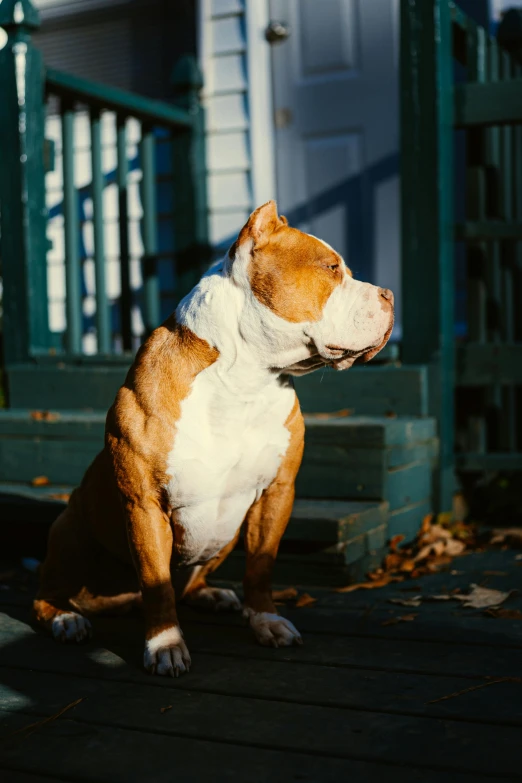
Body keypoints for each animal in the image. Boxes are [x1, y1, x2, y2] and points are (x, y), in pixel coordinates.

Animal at [34, 201, 392, 672]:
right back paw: (66, 619)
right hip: (70, 531)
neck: (244, 381)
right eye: (331, 268)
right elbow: (158, 585)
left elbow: (260, 567)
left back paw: (211, 594)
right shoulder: (145, 505)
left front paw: (265, 621)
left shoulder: (276, 493)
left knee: (189, 583)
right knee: (48, 595)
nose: (389, 295)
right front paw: (165, 644)